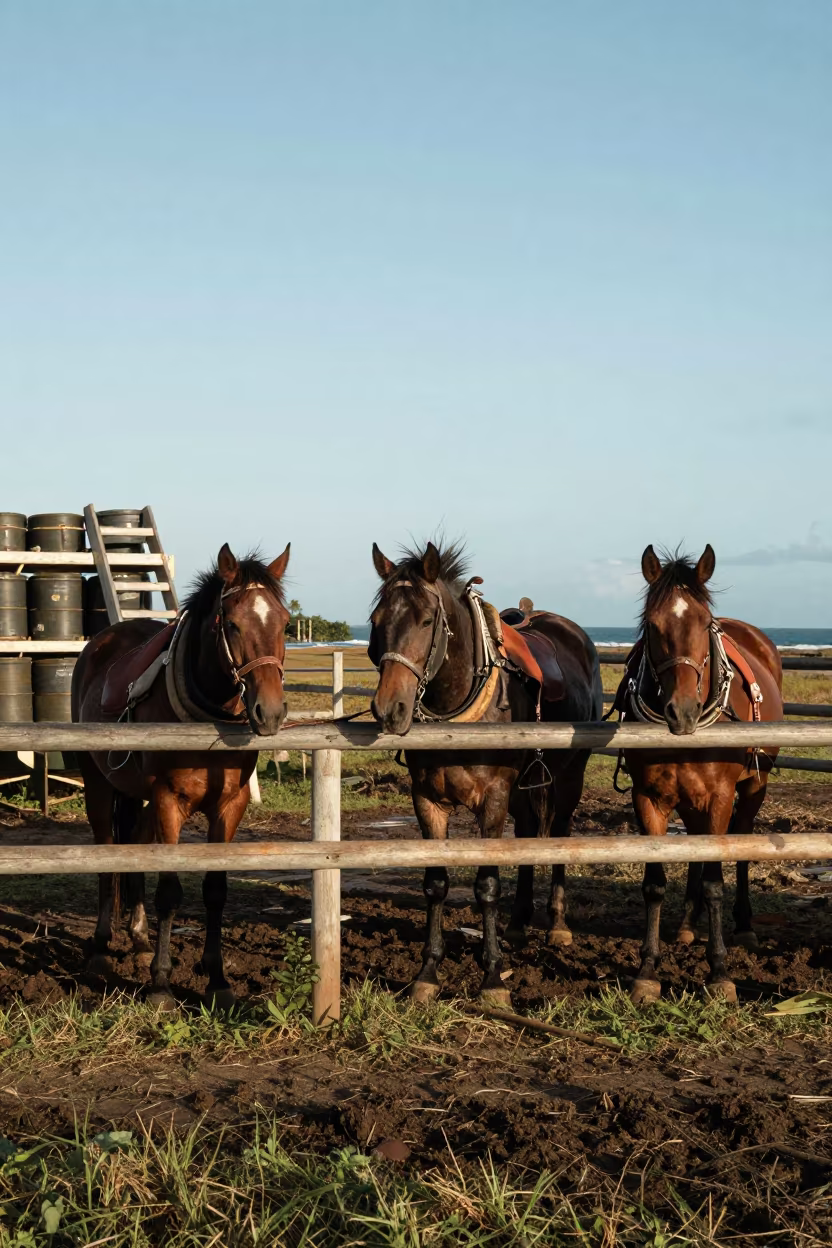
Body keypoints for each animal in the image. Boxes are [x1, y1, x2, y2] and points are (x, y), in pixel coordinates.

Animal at [71, 543, 290, 1007]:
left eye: (283, 622)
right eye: (232, 623)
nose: (270, 711)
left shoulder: (230, 805)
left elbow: (215, 891)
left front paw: (218, 979)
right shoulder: (169, 800)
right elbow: (170, 892)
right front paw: (161, 983)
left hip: (135, 794)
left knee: (134, 845)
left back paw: (138, 938)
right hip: (98, 784)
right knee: (106, 857)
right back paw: (100, 949)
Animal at [368, 539, 602, 1005]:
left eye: (426, 620)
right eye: (376, 620)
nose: (390, 709)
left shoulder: (493, 798)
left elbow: (487, 884)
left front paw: (493, 976)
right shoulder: (427, 801)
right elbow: (435, 883)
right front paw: (428, 972)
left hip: (569, 778)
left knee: (559, 833)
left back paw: (557, 924)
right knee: (528, 832)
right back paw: (518, 922)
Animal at [617, 544, 783, 1004]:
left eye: (705, 623)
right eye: (652, 625)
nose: (683, 711)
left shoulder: (720, 797)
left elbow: (714, 881)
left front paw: (720, 972)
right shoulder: (648, 798)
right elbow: (654, 884)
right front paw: (647, 971)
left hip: (753, 788)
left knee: (740, 843)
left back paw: (743, 926)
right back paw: (688, 926)